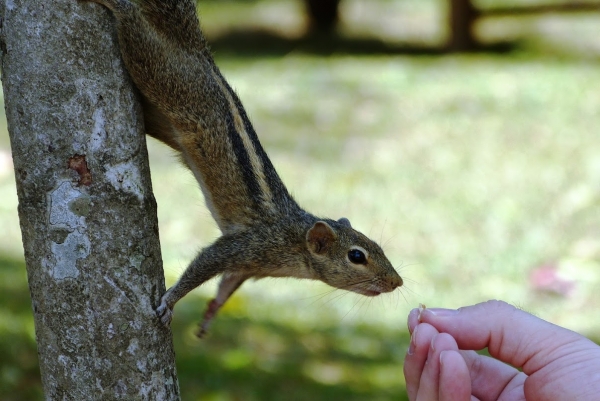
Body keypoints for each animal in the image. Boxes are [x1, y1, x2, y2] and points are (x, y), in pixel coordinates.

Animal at [77, 0, 400, 336]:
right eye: (356, 256)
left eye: (378, 246)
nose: (397, 281)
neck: (294, 241)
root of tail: (200, 53)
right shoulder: (244, 247)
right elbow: (202, 265)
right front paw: (171, 301)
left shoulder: (245, 266)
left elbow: (228, 284)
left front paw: (211, 313)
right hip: (164, 75)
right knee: (137, 33)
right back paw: (118, 7)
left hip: (159, 118)